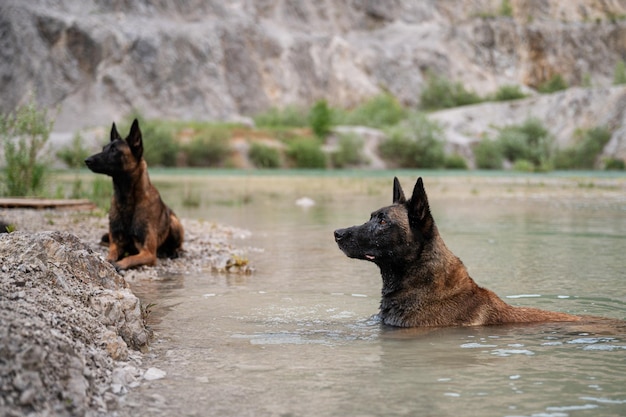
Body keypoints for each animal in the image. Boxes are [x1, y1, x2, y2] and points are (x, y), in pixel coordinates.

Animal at [84, 119, 183, 270]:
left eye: (114, 150)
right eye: (103, 148)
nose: (87, 160)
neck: (126, 199)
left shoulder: (148, 253)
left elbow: (130, 258)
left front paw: (119, 264)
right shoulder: (116, 243)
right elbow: (111, 254)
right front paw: (109, 260)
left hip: (174, 223)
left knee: (178, 246)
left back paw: (173, 251)